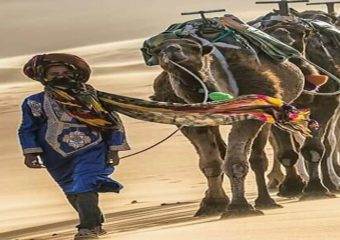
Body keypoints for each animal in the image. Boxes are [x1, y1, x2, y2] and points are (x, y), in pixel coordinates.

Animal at [149, 32, 306, 217]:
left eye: (195, 47)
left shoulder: (253, 109)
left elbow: (236, 161)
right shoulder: (187, 119)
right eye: (159, 51)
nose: (173, 49)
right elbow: (211, 163)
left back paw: (275, 196)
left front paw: (239, 206)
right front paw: (213, 204)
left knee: (260, 155)